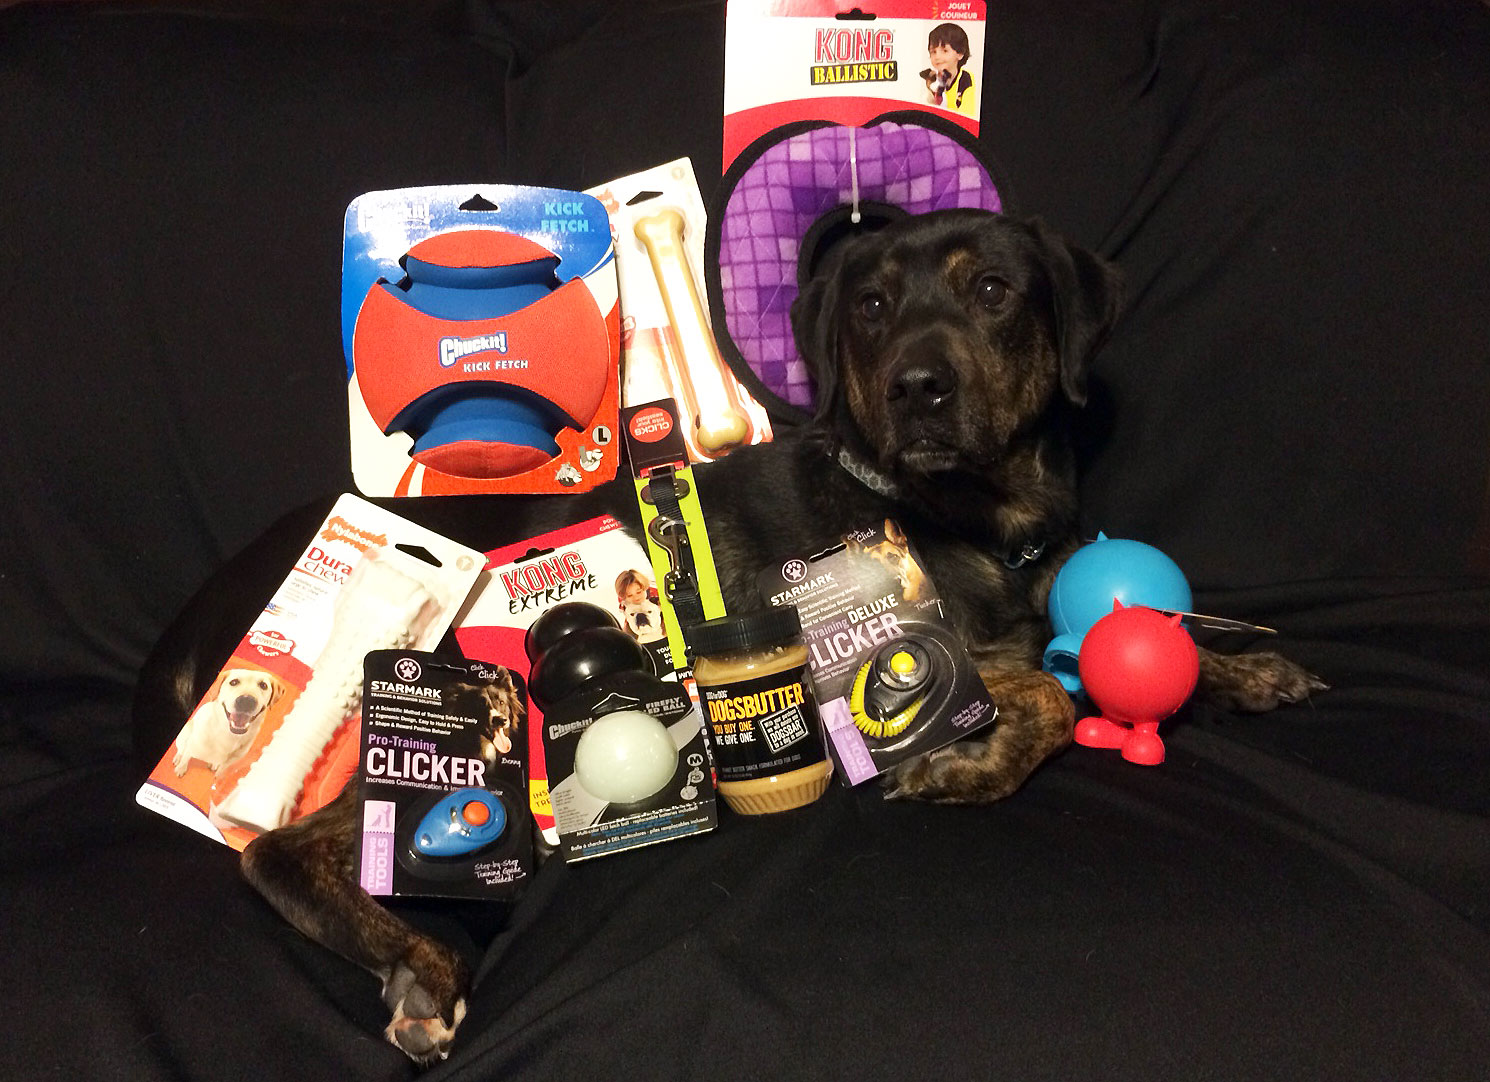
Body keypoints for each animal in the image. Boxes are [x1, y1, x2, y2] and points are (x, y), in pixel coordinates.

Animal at [136, 208, 1325, 1064]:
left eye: (992, 291)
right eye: (871, 307)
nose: (918, 387)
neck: (963, 512)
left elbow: (1122, 642)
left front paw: (1243, 666)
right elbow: (1047, 692)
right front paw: (967, 762)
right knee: (278, 851)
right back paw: (422, 967)